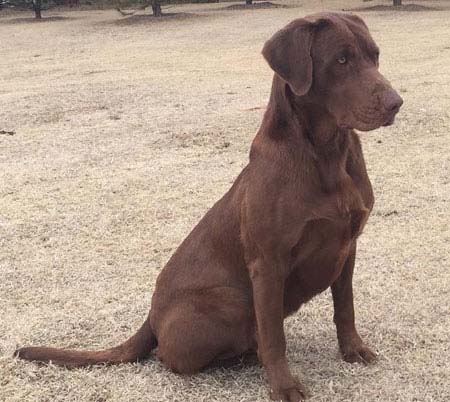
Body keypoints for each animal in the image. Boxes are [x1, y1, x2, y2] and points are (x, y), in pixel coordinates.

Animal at [15, 11, 402, 400]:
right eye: (341, 60)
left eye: (375, 56)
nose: (396, 103)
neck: (325, 154)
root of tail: (150, 316)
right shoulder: (268, 263)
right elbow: (274, 336)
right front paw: (284, 385)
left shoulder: (347, 246)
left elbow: (345, 307)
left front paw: (353, 350)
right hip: (233, 302)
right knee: (175, 355)